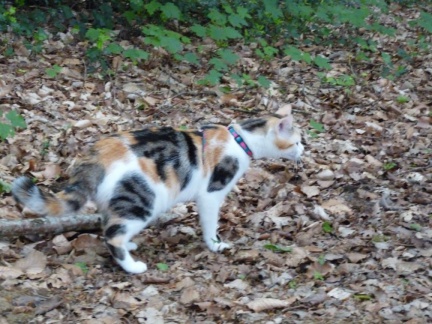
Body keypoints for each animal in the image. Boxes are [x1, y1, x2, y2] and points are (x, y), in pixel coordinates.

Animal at [12, 112, 304, 272]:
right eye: (297, 141)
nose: (305, 149)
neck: (239, 139)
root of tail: (99, 153)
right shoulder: (211, 193)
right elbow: (210, 224)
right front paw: (215, 244)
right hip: (142, 199)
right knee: (112, 236)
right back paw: (132, 266)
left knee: (110, 224)